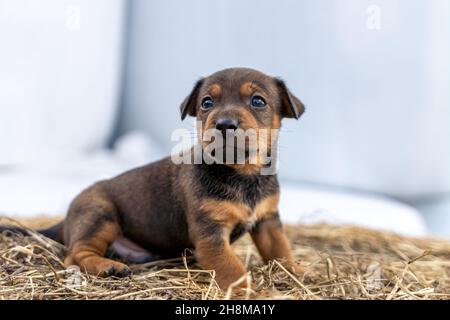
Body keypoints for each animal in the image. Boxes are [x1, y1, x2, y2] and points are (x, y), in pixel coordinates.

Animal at [0, 69, 306, 288]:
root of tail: (66, 218)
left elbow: (281, 250)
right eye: (207, 102)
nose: (224, 125)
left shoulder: (268, 221)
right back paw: (106, 266)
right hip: (100, 216)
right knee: (75, 254)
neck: (241, 173)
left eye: (258, 101)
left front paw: (296, 271)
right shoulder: (211, 235)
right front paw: (247, 291)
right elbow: (232, 268)